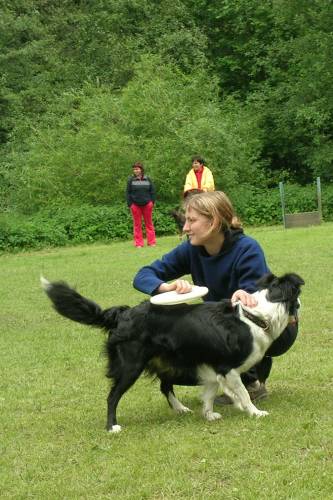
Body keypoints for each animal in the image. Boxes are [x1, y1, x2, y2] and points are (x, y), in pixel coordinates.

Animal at [41, 272, 304, 432]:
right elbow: (243, 394)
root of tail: (123, 313)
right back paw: (112, 426)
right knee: (112, 396)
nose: (301, 305)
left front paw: (208, 415)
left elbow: (209, 393)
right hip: (131, 365)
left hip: (165, 360)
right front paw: (255, 412)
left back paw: (180, 409)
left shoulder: (211, 365)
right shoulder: (227, 367)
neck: (255, 316)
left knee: (164, 385)